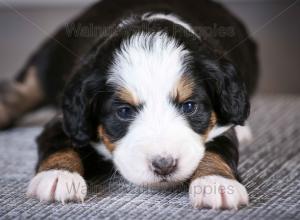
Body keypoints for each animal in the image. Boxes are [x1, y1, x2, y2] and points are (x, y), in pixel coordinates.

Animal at [0, 0, 258, 210]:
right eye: (124, 112)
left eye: (189, 107)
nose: (164, 165)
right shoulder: (67, 119)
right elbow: (58, 141)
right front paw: (57, 176)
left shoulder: (219, 126)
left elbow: (219, 149)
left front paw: (216, 183)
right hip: (48, 61)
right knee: (22, 89)